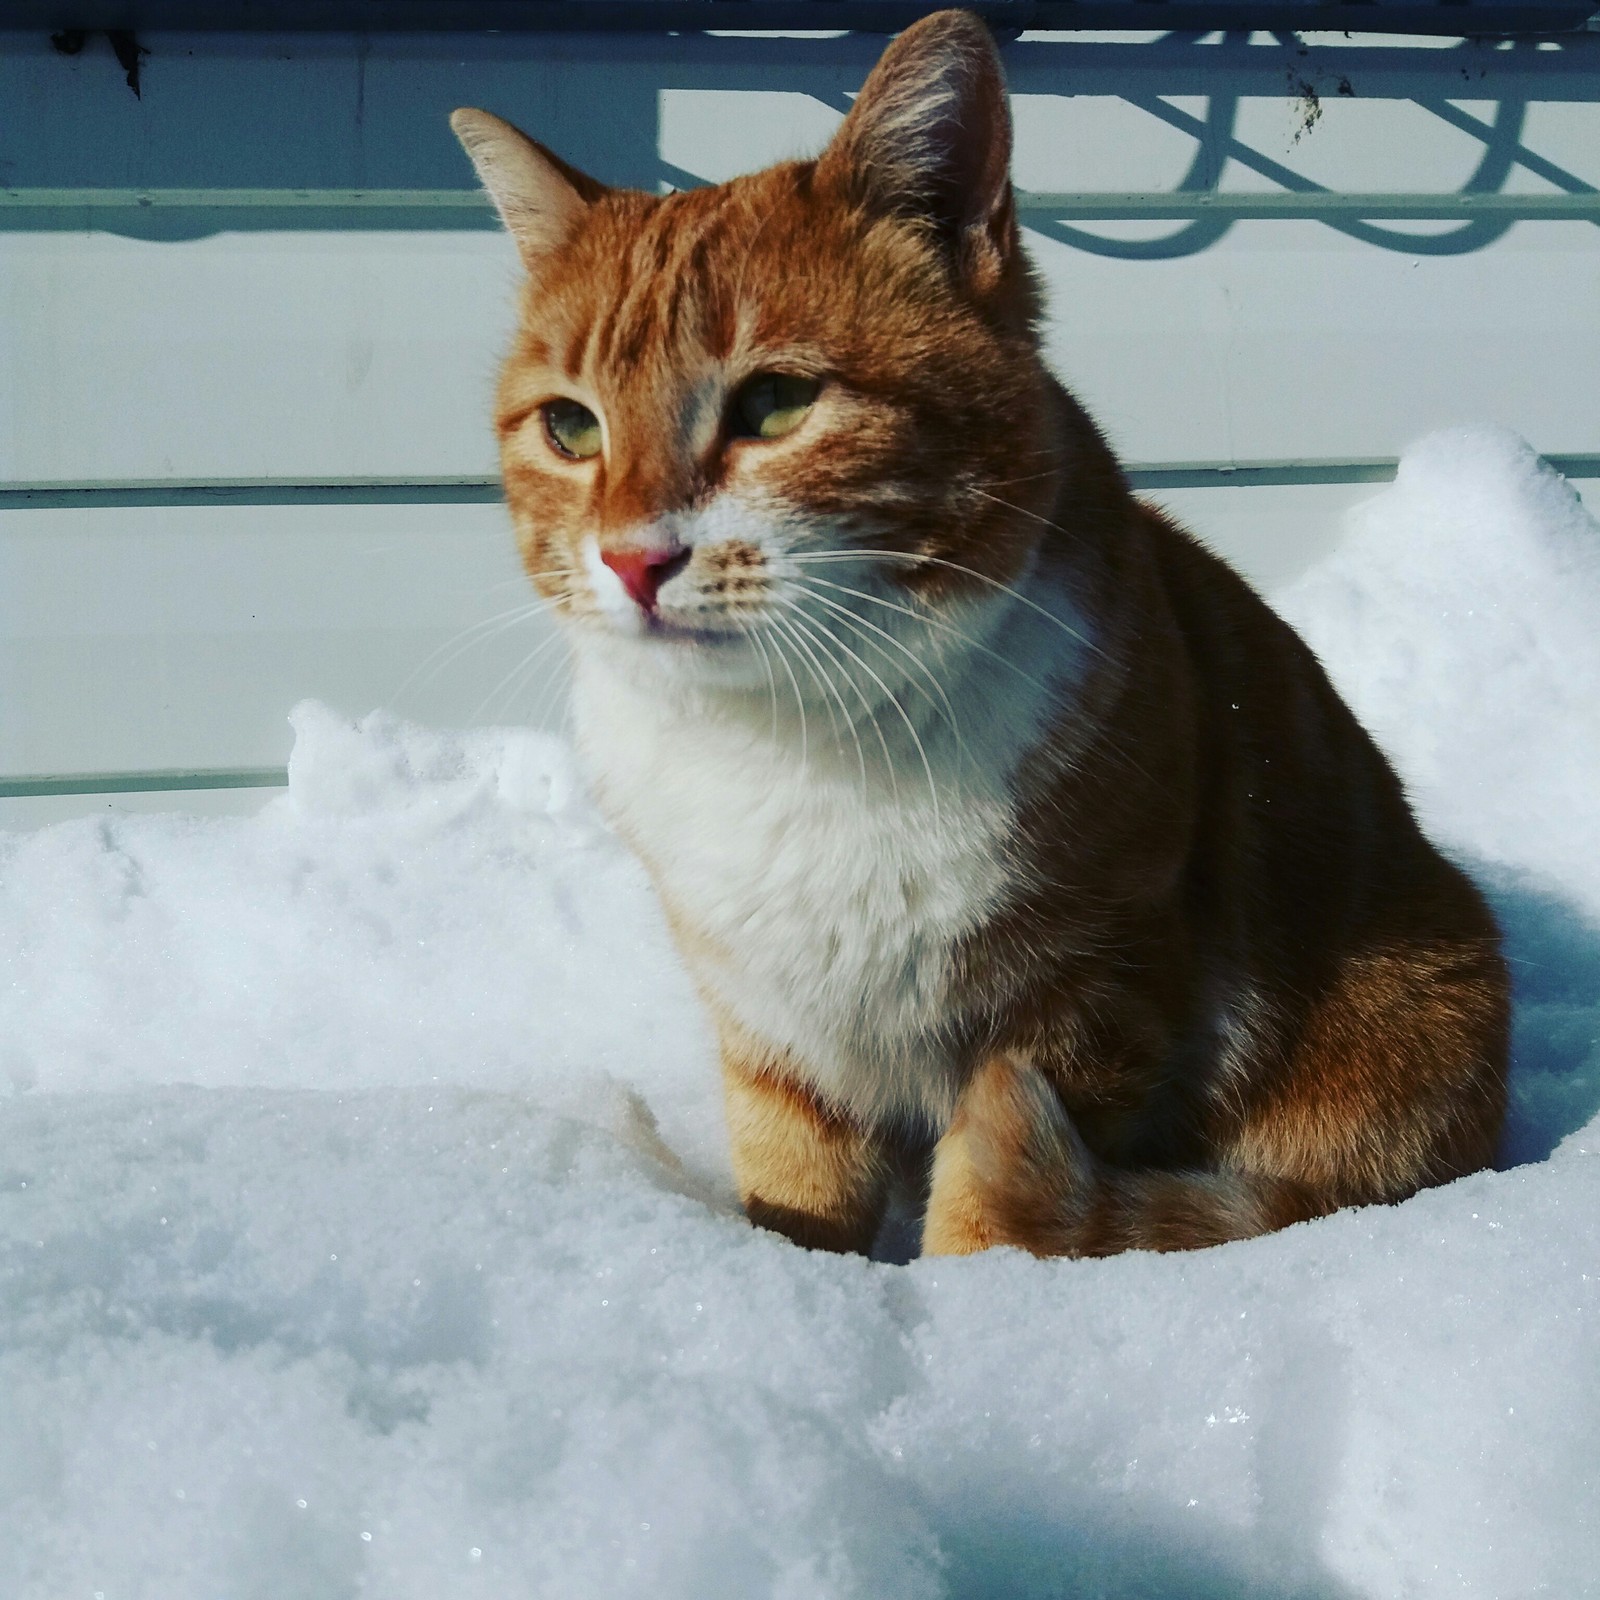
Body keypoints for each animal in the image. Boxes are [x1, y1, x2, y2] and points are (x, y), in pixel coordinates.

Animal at [454, 12, 1510, 1260]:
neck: (793, 743)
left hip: (1408, 1011)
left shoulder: (1089, 1002)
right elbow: (795, 1185)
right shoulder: (772, 1035)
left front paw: (970, 1301)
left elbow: (987, 1213)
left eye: (775, 404)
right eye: (570, 427)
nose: (632, 559)